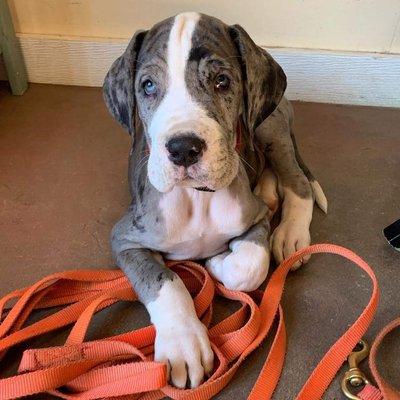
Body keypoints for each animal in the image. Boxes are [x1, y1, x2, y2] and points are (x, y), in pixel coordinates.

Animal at [101, 11, 326, 388]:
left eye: (222, 81)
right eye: (147, 86)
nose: (183, 149)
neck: (196, 199)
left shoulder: (256, 219)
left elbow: (249, 266)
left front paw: (218, 263)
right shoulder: (125, 240)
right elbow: (164, 280)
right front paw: (183, 342)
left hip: (270, 128)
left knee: (297, 180)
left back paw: (290, 232)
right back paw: (266, 189)